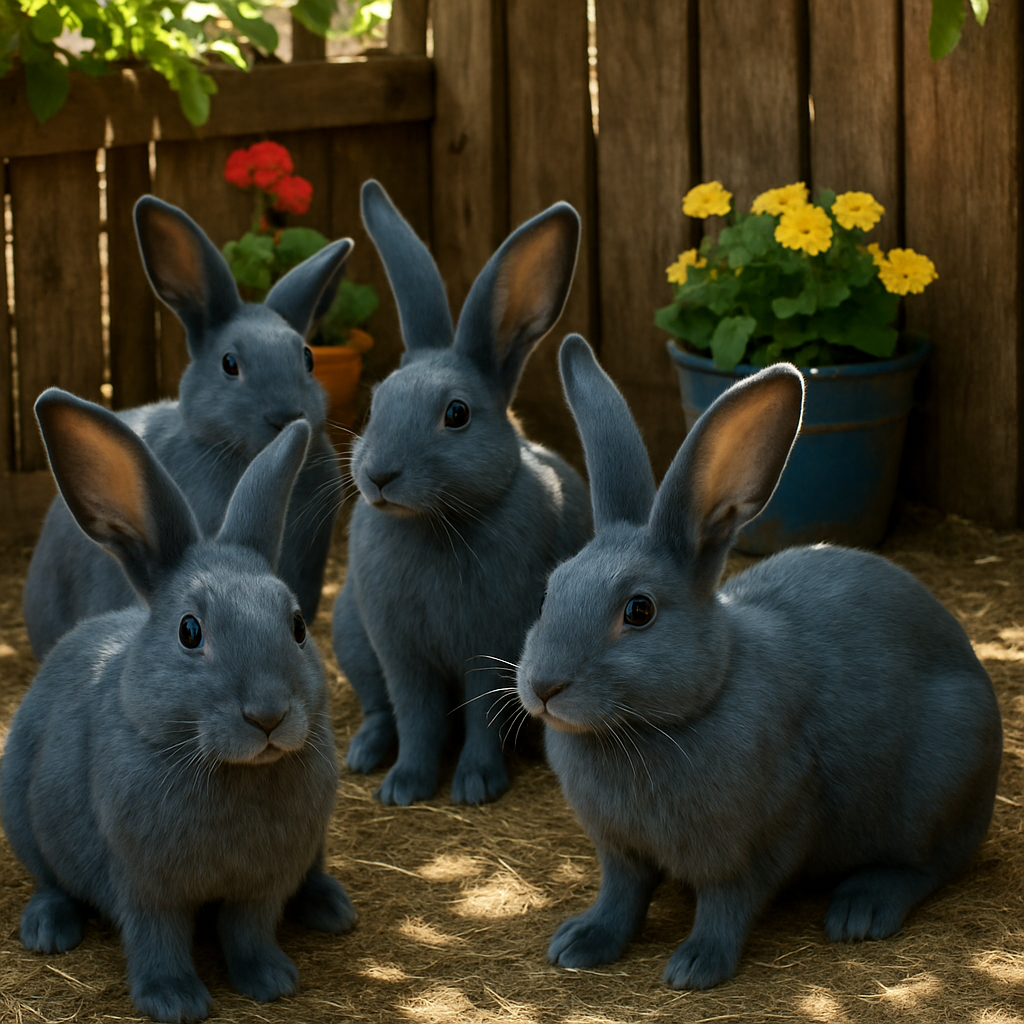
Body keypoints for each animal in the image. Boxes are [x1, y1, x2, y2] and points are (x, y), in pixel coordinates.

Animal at [1, 389, 354, 1024]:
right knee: (49, 881)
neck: (231, 770)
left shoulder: (261, 886)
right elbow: (156, 938)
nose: (268, 716)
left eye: (296, 625)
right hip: (21, 813)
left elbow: (248, 931)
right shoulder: (145, 885)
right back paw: (47, 930)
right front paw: (175, 1001)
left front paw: (271, 981)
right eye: (190, 631)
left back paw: (331, 908)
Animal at [332, 180, 592, 806]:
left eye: (457, 414)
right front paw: (404, 785)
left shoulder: (490, 648)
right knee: (380, 709)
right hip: (351, 636)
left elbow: (479, 719)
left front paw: (475, 784)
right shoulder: (401, 653)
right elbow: (416, 716)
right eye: (375, 403)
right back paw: (365, 754)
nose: (379, 476)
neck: (431, 522)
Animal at [515, 335, 1003, 990]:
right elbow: (622, 896)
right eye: (550, 591)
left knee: (931, 865)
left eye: (639, 611)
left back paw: (861, 910)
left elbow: (729, 903)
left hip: (938, 783)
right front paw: (579, 942)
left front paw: (696, 966)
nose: (544, 686)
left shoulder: (760, 841)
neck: (666, 721)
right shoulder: (621, 851)